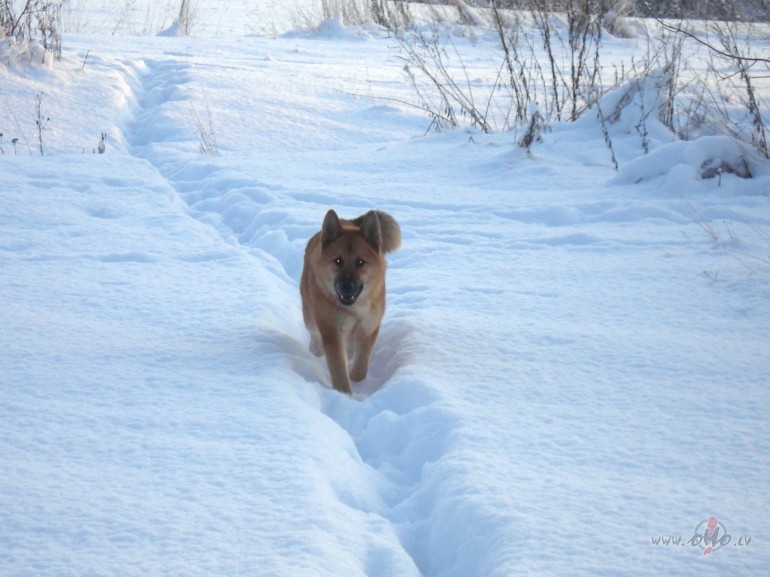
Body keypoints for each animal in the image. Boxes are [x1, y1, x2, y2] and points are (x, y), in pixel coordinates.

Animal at [298, 209, 402, 394]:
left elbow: (361, 366)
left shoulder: (369, 329)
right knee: (315, 336)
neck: (355, 309)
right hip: (310, 317)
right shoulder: (332, 334)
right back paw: (316, 352)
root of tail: (347, 221)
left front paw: (356, 379)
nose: (346, 287)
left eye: (360, 262)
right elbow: (339, 370)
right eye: (338, 260)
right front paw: (344, 394)